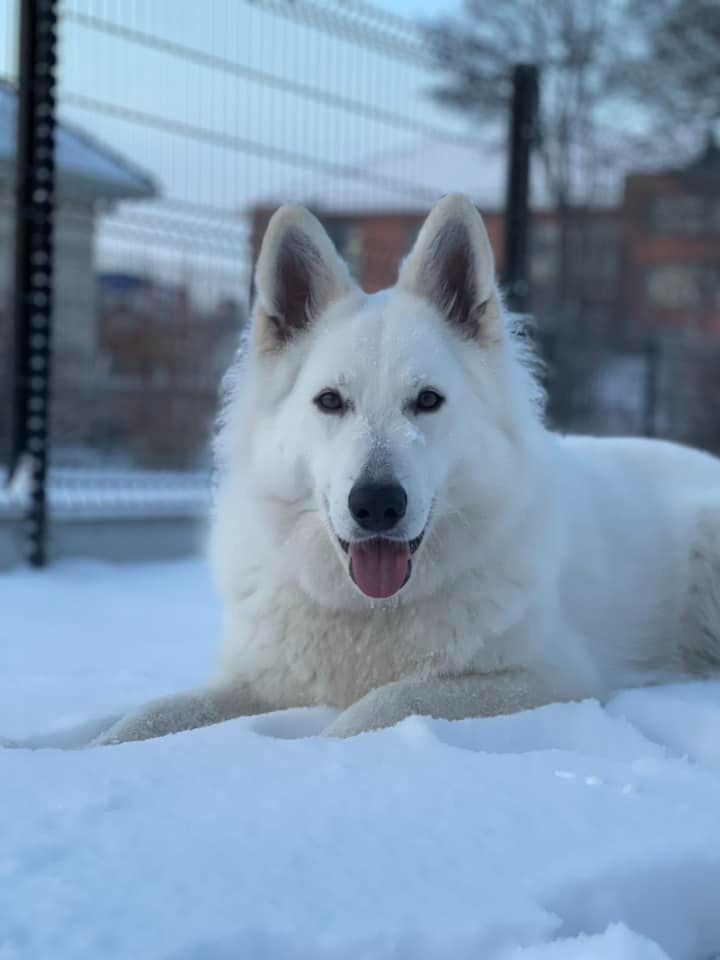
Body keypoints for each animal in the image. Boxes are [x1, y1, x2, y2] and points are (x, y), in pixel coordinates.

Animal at [97, 191, 720, 748]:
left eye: (427, 400)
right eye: (330, 401)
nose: (376, 504)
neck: (372, 614)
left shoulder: (553, 678)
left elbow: (387, 701)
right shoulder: (260, 679)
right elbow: (148, 716)